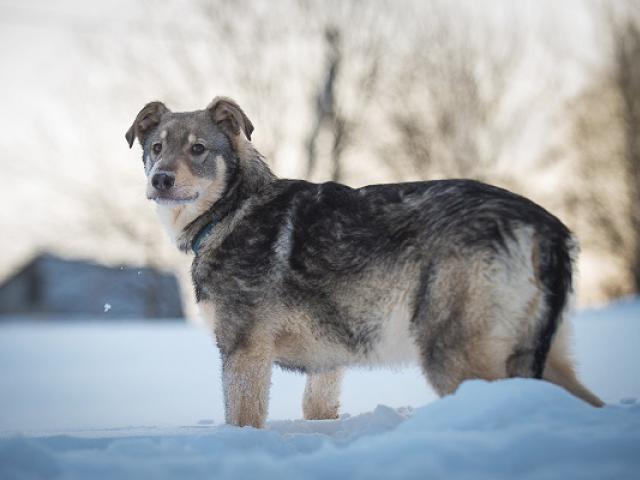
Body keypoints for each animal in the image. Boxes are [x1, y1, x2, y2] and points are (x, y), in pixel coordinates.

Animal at [126, 95, 604, 426]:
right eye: (156, 147)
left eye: (198, 149)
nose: (160, 180)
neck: (231, 210)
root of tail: (544, 223)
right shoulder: (326, 367)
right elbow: (317, 410)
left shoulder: (243, 353)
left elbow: (241, 422)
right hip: (542, 354)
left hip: (455, 355)